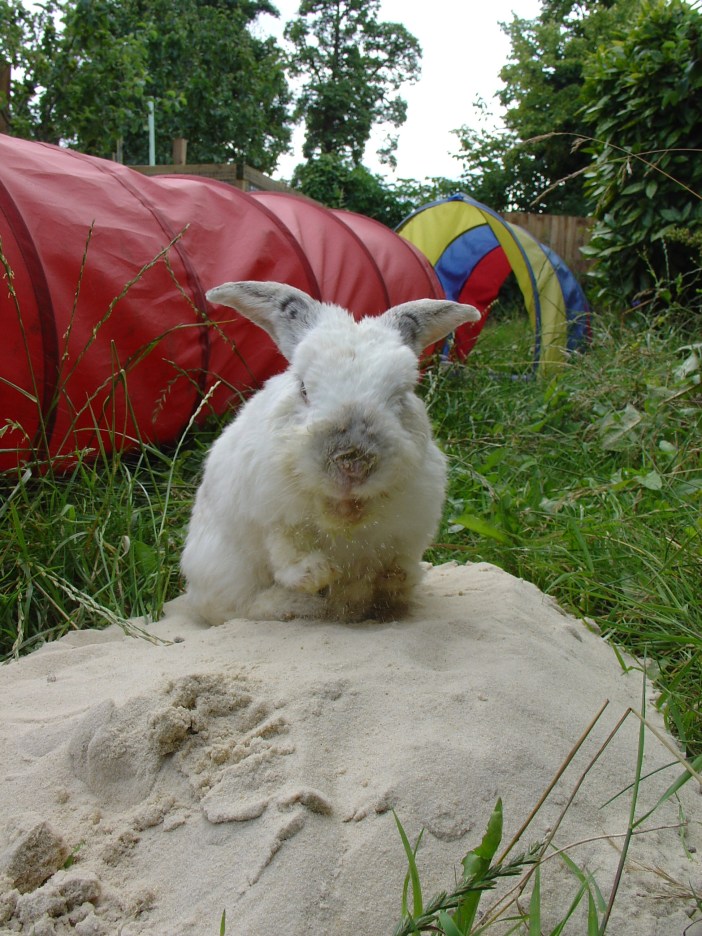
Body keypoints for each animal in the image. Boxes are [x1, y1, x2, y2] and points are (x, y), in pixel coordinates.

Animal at [180, 280, 481, 624]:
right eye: (303, 388)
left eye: (401, 396)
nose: (352, 463)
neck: (343, 512)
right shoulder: (274, 515)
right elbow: (288, 553)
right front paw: (319, 576)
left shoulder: (410, 527)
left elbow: (397, 561)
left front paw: (394, 580)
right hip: (221, 570)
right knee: (239, 607)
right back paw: (298, 604)